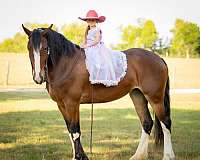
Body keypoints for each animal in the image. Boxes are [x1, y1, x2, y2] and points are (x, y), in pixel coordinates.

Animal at [22, 24, 175, 160]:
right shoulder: (61, 104)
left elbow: (75, 130)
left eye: (45, 48)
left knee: (165, 122)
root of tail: (158, 58)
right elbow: (70, 130)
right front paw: (77, 156)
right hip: (138, 95)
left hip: (155, 98)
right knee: (147, 122)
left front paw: (80, 157)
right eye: (29, 48)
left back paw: (168, 156)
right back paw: (138, 156)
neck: (67, 64)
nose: (38, 77)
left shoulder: (72, 103)